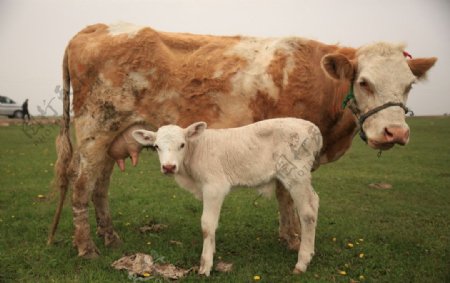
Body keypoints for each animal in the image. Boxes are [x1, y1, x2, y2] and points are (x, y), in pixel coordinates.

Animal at [46, 22, 436, 260]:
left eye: (409, 86)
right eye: (365, 82)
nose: (395, 133)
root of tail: (95, 27)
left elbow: (286, 196)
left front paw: (288, 236)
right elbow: (287, 196)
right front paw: (293, 239)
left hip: (113, 139)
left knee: (100, 189)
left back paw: (111, 238)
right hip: (95, 132)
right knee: (81, 188)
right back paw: (87, 248)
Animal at [132, 118, 322, 276]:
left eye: (182, 144)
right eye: (156, 146)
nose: (169, 167)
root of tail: (311, 126)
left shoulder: (214, 187)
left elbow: (207, 225)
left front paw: (205, 265)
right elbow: (213, 225)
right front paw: (212, 250)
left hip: (296, 176)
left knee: (307, 213)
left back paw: (302, 262)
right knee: (314, 201)